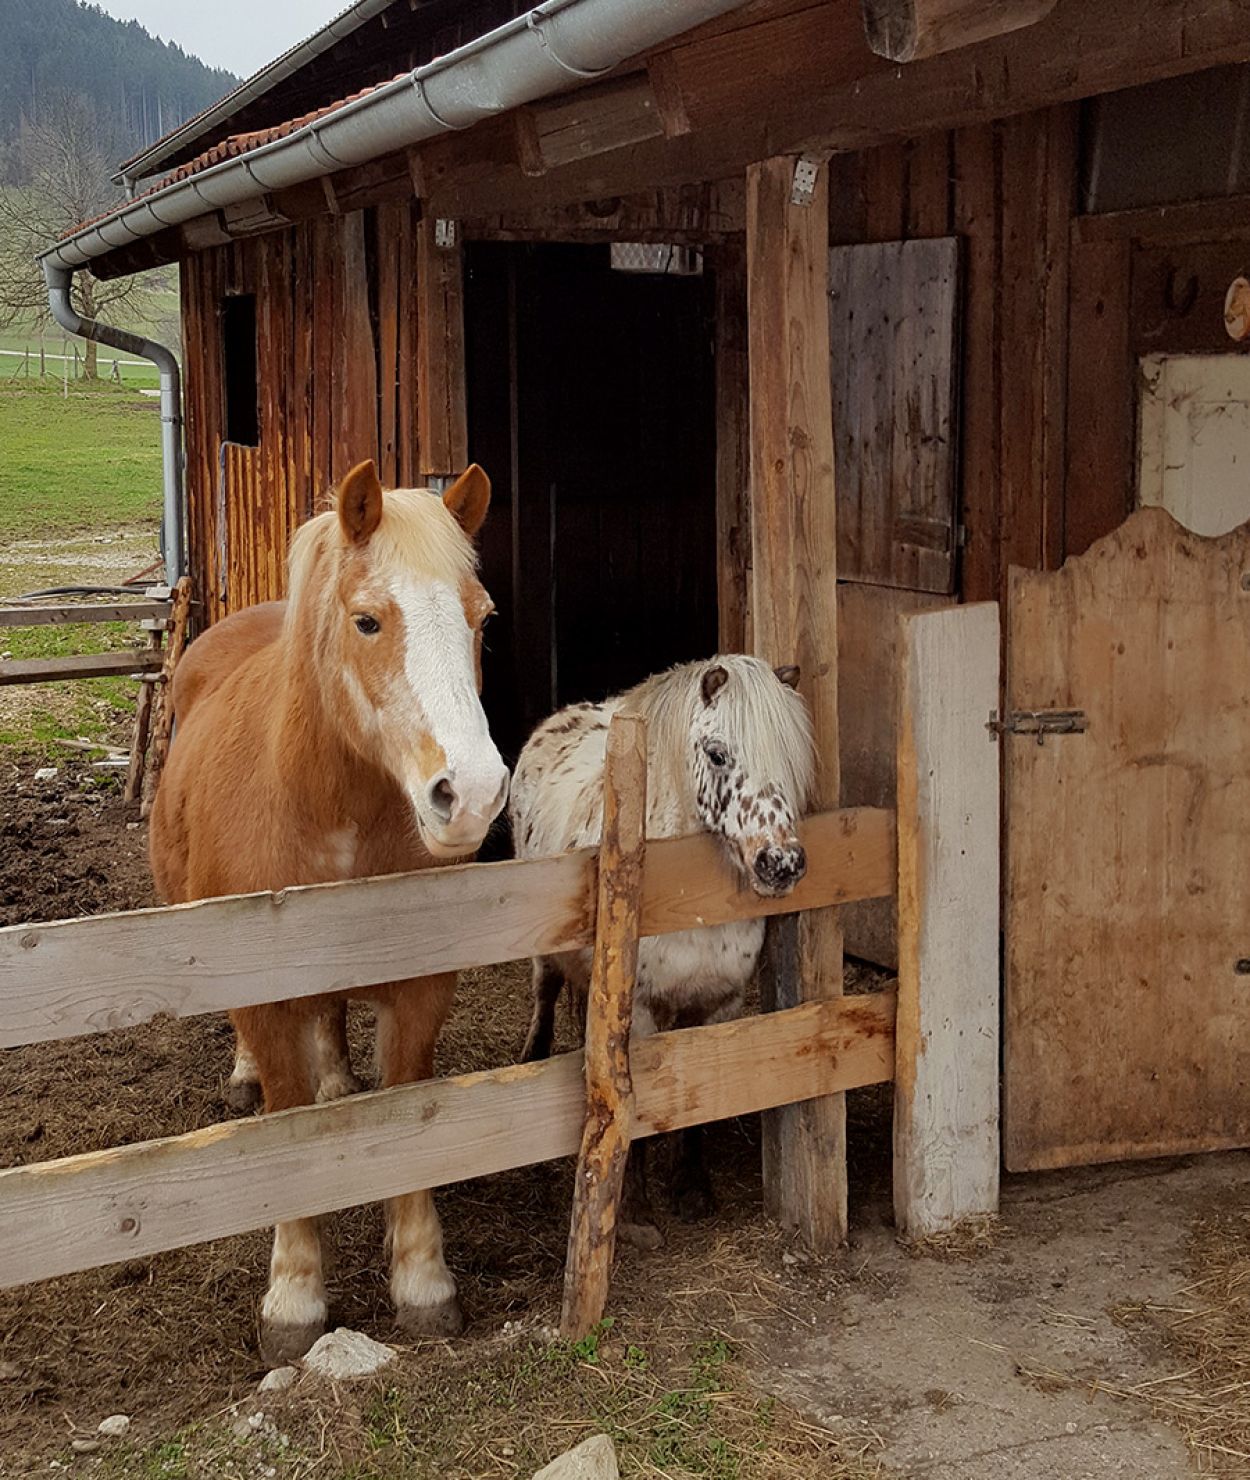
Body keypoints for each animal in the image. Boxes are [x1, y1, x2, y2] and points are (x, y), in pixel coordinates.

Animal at [149, 459, 509, 1365]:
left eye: (482, 618)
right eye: (368, 620)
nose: (473, 795)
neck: (324, 804)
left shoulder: (419, 988)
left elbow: (403, 1104)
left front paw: (423, 1281)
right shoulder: (266, 993)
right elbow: (285, 1125)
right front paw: (295, 1298)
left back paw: (339, 1080)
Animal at [509, 655, 815, 1248]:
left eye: (790, 754)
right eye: (717, 753)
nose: (781, 864)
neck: (684, 895)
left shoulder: (717, 1004)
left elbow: (698, 1091)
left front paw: (692, 1189)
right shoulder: (641, 1014)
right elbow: (639, 1110)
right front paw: (634, 1212)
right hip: (542, 949)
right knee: (545, 993)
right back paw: (532, 1057)